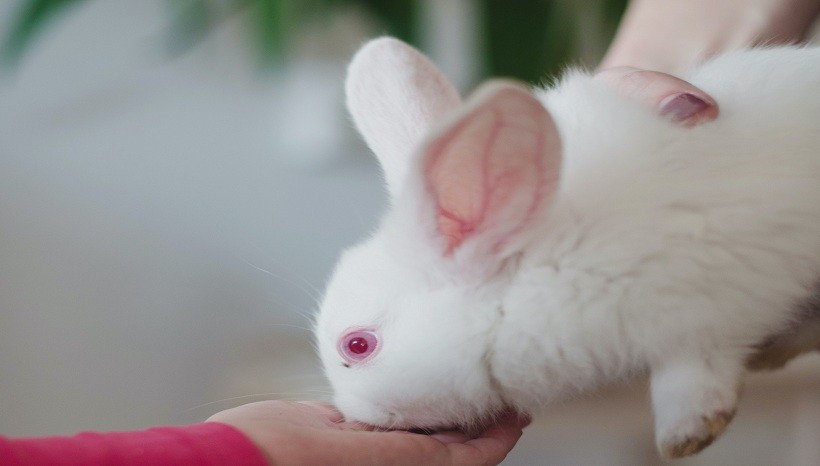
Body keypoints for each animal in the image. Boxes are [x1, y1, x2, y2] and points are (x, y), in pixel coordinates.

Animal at [314, 37, 820, 458]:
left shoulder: (704, 312)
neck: (535, 268)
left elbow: (692, 376)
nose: (353, 412)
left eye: (357, 345)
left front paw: (685, 436)